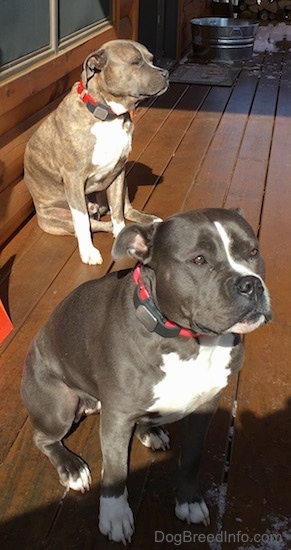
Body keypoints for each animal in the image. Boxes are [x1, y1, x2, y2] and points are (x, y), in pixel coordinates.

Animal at [21, 208, 272, 548]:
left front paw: (188, 501)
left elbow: (192, 458)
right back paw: (71, 468)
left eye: (253, 252)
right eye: (199, 259)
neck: (189, 341)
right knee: (43, 438)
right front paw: (114, 517)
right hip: (60, 404)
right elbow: (115, 470)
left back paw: (150, 432)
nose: (252, 285)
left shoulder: (205, 407)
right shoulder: (116, 417)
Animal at [24, 38, 169, 266]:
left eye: (152, 59)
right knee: (90, 223)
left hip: (122, 182)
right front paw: (89, 252)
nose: (166, 73)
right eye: (135, 62)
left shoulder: (118, 172)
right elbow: (83, 223)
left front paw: (120, 233)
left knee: (125, 209)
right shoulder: (74, 179)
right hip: (58, 218)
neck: (108, 116)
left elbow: (118, 210)